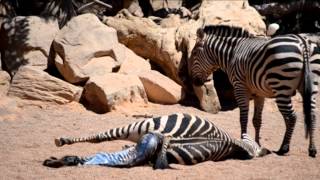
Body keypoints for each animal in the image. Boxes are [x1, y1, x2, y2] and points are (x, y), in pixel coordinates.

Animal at [43, 112, 270, 169]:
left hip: (143, 127)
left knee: (102, 139)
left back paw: (61, 148)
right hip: (146, 123)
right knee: (101, 136)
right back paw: (62, 141)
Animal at [182, 25, 320, 158]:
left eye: (194, 53)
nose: (194, 82)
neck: (232, 54)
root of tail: (302, 41)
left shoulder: (240, 88)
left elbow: (243, 118)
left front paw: (245, 142)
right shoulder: (259, 93)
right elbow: (256, 120)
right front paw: (257, 143)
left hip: (282, 87)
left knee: (291, 117)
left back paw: (284, 148)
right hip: (312, 86)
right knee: (312, 115)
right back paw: (312, 149)